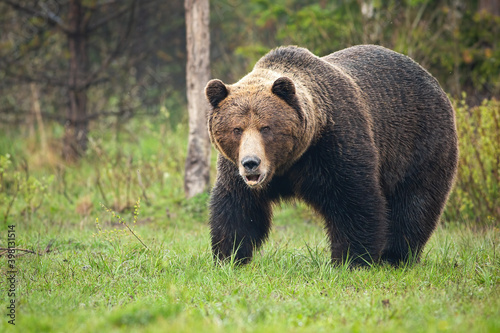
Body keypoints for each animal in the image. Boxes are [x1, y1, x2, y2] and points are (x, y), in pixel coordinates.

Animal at [203, 45, 458, 266]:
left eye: (266, 128)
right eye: (237, 129)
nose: (251, 163)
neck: (288, 162)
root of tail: (431, 80)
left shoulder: (335, 147)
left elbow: (354, 201)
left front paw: (352, 259)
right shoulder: (235, 168)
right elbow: (237, 207)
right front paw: (230, 256)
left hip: (420, 143)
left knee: (414, 203)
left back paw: (395, 256)